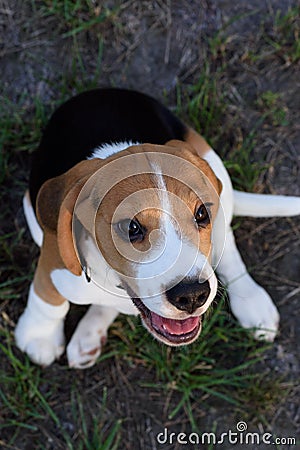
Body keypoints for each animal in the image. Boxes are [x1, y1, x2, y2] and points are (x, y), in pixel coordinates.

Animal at [15, 89, 300, 370]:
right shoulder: (53, 258)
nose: (192, 295)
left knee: (227, 245)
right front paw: (38, 337)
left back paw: (252, 301)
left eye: (201, 214)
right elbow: (48, 302)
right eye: (130, 227)